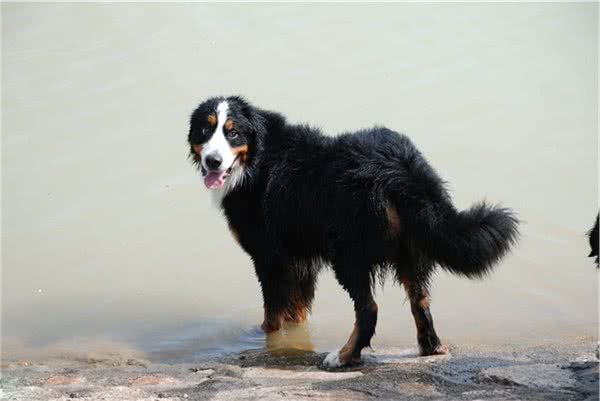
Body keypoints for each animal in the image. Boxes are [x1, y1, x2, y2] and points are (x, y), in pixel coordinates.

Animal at [188, 96, 520, 366]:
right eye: (206, 131)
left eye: (233, 132)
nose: (213, 161)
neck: (257, 157)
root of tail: (399, 167)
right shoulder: (300, 259)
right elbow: (297, 311)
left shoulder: (269, 257)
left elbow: (272, 315)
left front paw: (264, 341)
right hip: (412, 249)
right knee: (421, 302)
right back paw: (431, 348)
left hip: (349, 254)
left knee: (368, 309)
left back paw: (344, 356)